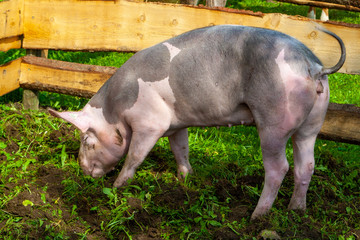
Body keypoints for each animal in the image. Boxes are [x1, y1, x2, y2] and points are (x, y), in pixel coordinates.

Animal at [49, 24, 344, 219]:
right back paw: (297, 211)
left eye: (87, 140)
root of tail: (314, 66)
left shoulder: (150, 123)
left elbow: (134, 157)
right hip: (313, 122)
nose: (83, 171)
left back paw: (255, 217)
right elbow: (180, 149)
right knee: (306, 165)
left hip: (274, 119)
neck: (116, 109)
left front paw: (116, 188)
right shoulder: (176, 124)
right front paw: (185, 181)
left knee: (279, 167)